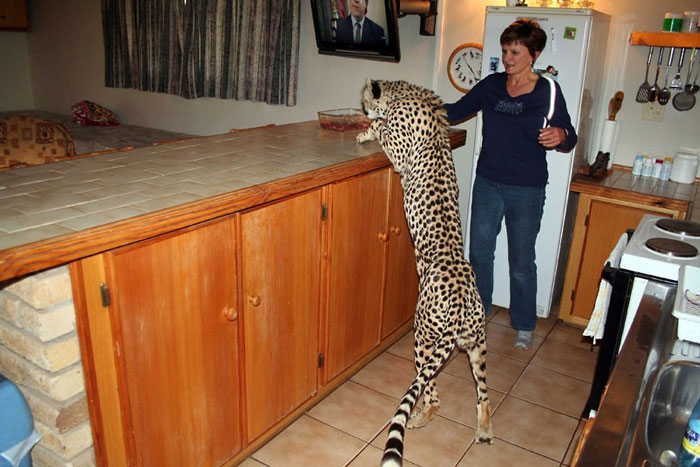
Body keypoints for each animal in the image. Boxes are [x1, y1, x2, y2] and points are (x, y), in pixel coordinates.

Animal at [356, 77, 494, 466]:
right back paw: (484, 431)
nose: (360, 108)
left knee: (431, 394)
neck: (404, 92)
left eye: (364, 100)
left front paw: (365, 129)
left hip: (423, 337)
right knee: (483, 394)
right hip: (476, 347)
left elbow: (382, 129)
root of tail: (462, 303)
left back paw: (418, 418)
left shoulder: (399, 151)